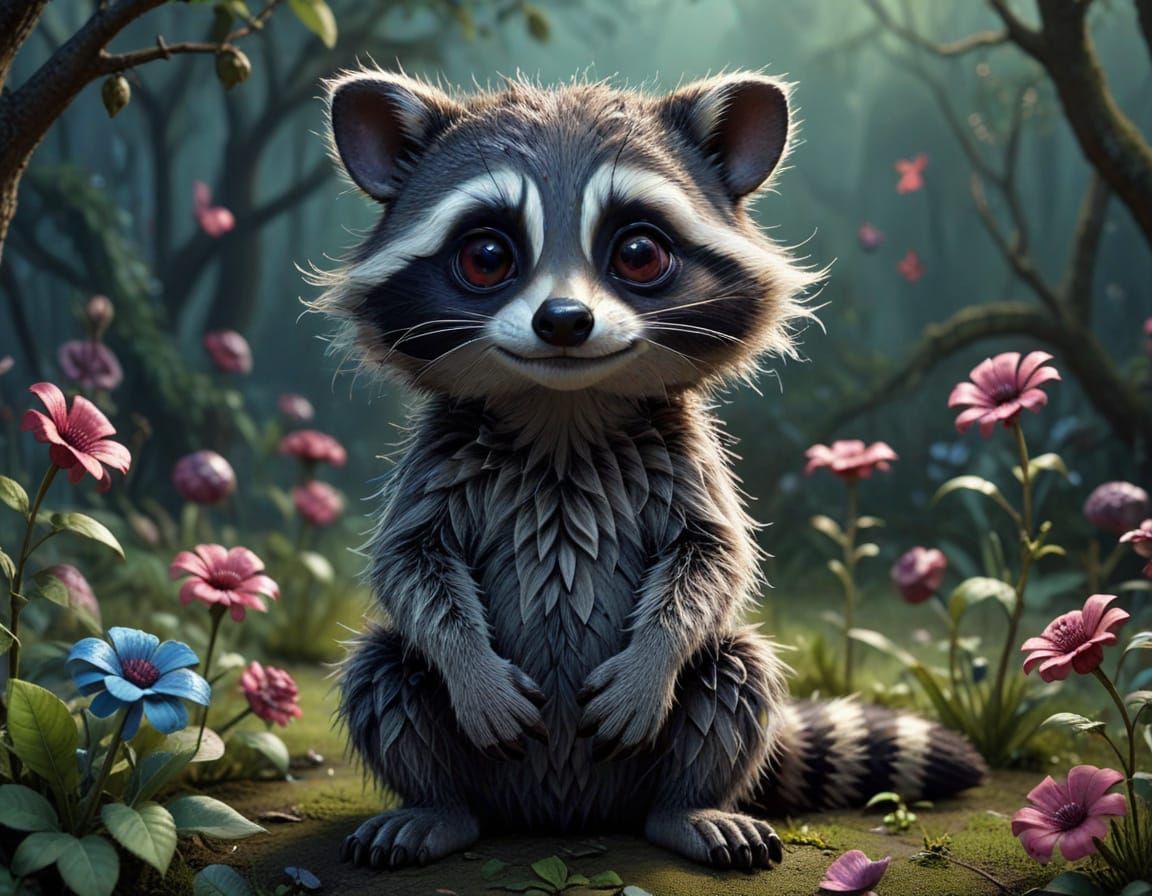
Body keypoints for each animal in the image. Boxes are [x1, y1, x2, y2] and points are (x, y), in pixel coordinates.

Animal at [316, 69, 985, 873]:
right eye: (486, 257)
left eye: (638, 252)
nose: (564, 320)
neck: (564, 409)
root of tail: (561, 817)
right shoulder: (443, 459)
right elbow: (412, 563)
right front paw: (470, 666)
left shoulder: (683, 458)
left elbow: (713, 558)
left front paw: (654, 661)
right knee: (384, 666)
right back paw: (438, 807)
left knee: (736, 669)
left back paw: (685, 808)